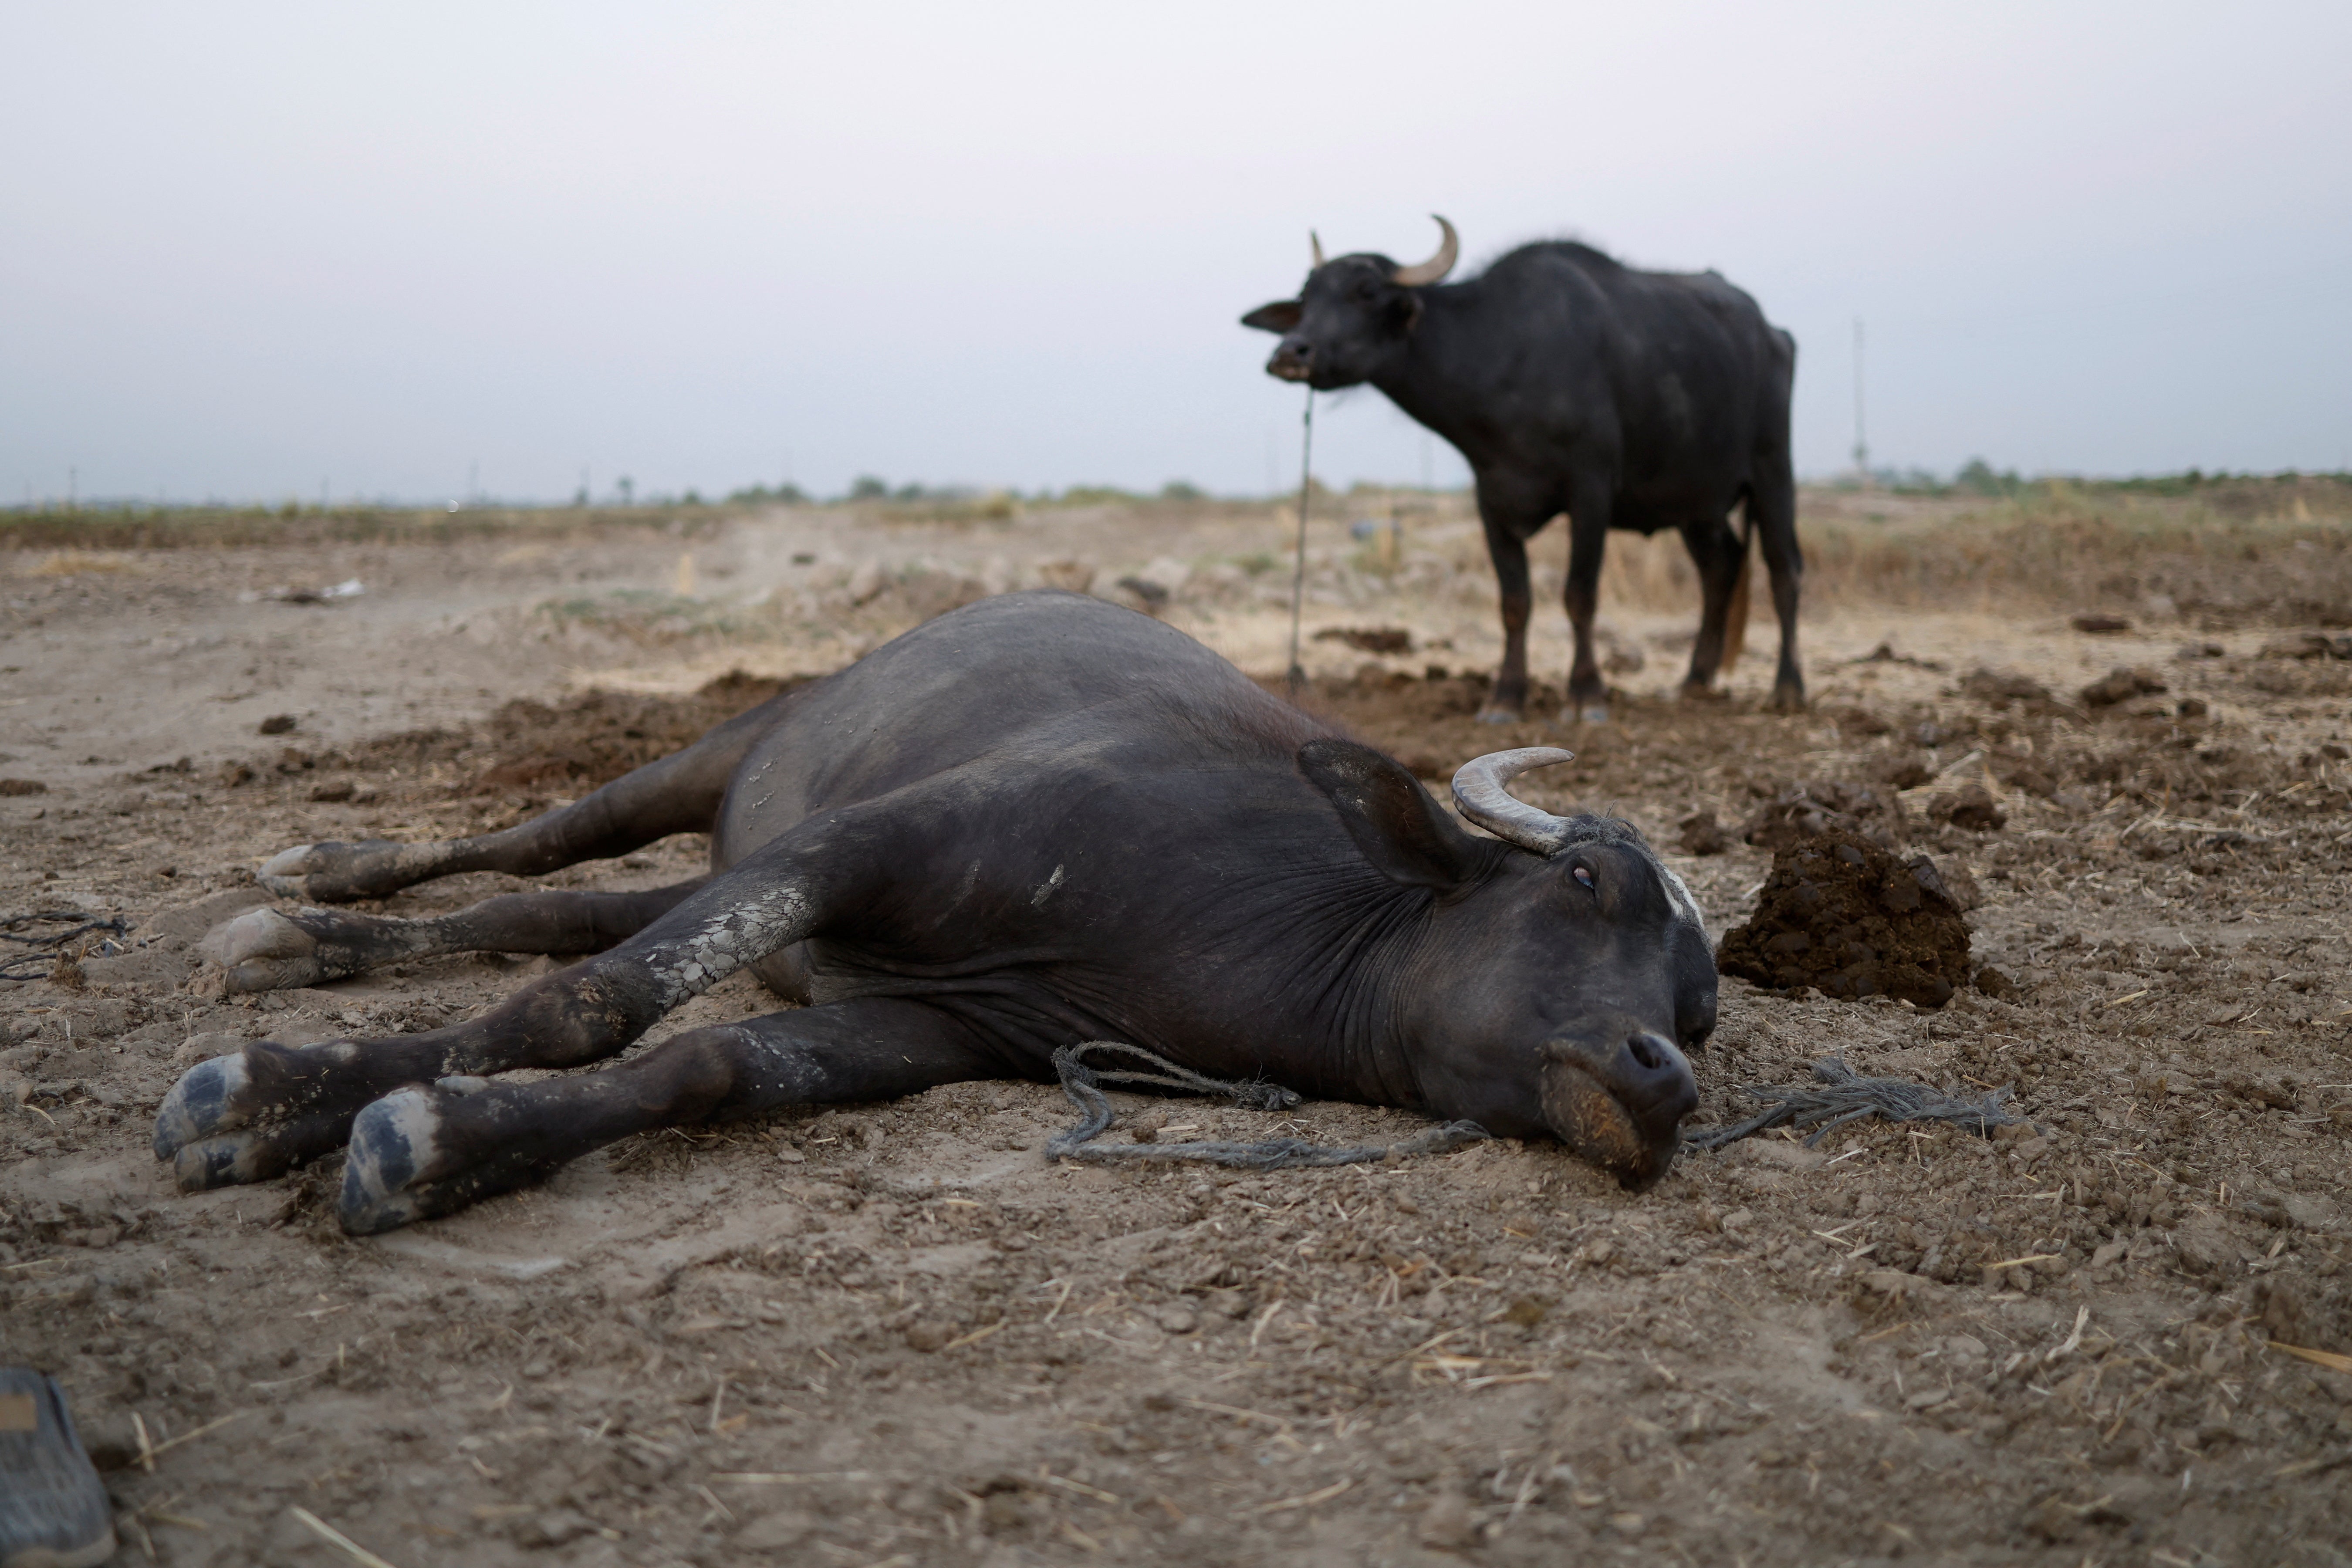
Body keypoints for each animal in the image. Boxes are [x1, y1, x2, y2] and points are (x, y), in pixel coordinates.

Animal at [161, 595, 1712, 1232]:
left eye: (1697, 1007)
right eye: (1586, 882)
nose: (1664, 1077)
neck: (1290, 921)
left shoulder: (952, 1031)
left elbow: (699, 1063)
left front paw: (446, 1142)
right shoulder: (866, 846)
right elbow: (595, 1000)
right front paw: (272, 1098)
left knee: (572, 908)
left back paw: (314, 946)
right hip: (718, 757)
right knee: (543, 847)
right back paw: (314, 890)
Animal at [1242, 217, 1806, 729]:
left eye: (1365, 291)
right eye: (1307, 296)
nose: (1290, 353)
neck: (1503, 355)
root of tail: (1775, 335)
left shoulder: (1591, 490)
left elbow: (1580, 595)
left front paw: (1587, 696)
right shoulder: (1492, 500)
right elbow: (1514, 603)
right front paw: (1505, 698)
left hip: (1772, 467)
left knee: (1784, 568)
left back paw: (1788, 689)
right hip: (1695, 503)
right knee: (1721, 567)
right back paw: (1694, 680)